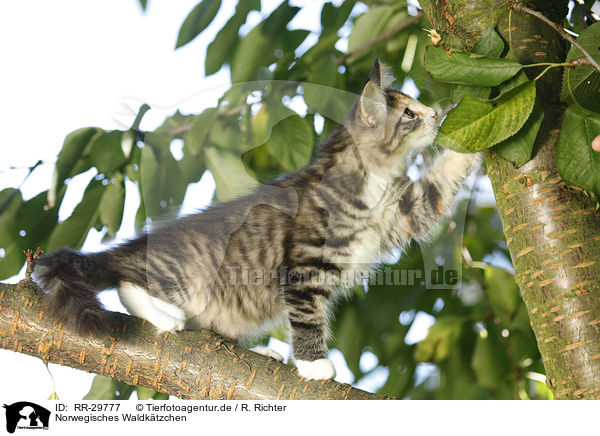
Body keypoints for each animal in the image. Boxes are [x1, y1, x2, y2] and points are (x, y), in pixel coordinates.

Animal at [35, 59, 480, 380]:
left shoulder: (406, 210)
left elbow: (443, 179)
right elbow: (307, 316)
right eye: (408, 114)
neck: (368, 178)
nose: (436, 114)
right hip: (189, 274)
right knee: (128, 282)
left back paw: (258, 350)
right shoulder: (303, 262)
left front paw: (483, 123)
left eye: (419, 107)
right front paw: (314, 364)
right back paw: (165, 315)